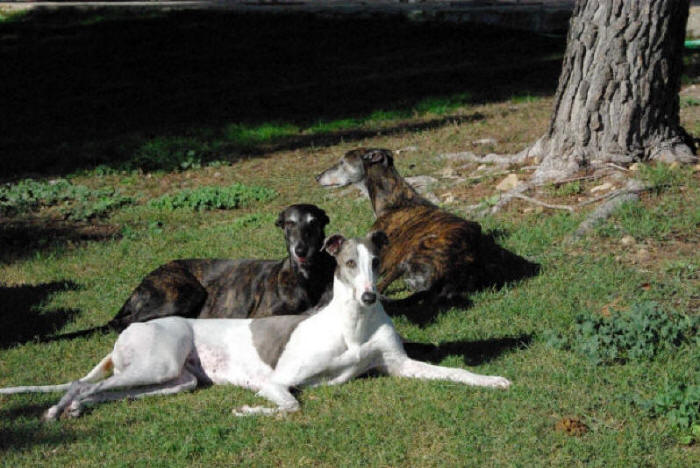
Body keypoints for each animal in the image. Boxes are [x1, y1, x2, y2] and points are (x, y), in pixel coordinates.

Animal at [0, 231, 511, 419]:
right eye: (348, 263)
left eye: (377, 263)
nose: (370, 295)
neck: (354, 323)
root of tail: (126, 327)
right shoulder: (277, 377)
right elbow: (291, 404)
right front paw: (248, 410)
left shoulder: (400, 367)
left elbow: (456, 372)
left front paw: (494, 380)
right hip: (157, 360)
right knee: (79, 385)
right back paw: (58, 411)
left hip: (173, 380)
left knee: (100, 390)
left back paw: (73, 410)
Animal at [107, 203, 335, 330]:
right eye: (289, 223)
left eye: (314, 222)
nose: (301, 250)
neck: (306, 278)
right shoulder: (263, 316)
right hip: (183, 293)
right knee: (122, 324)